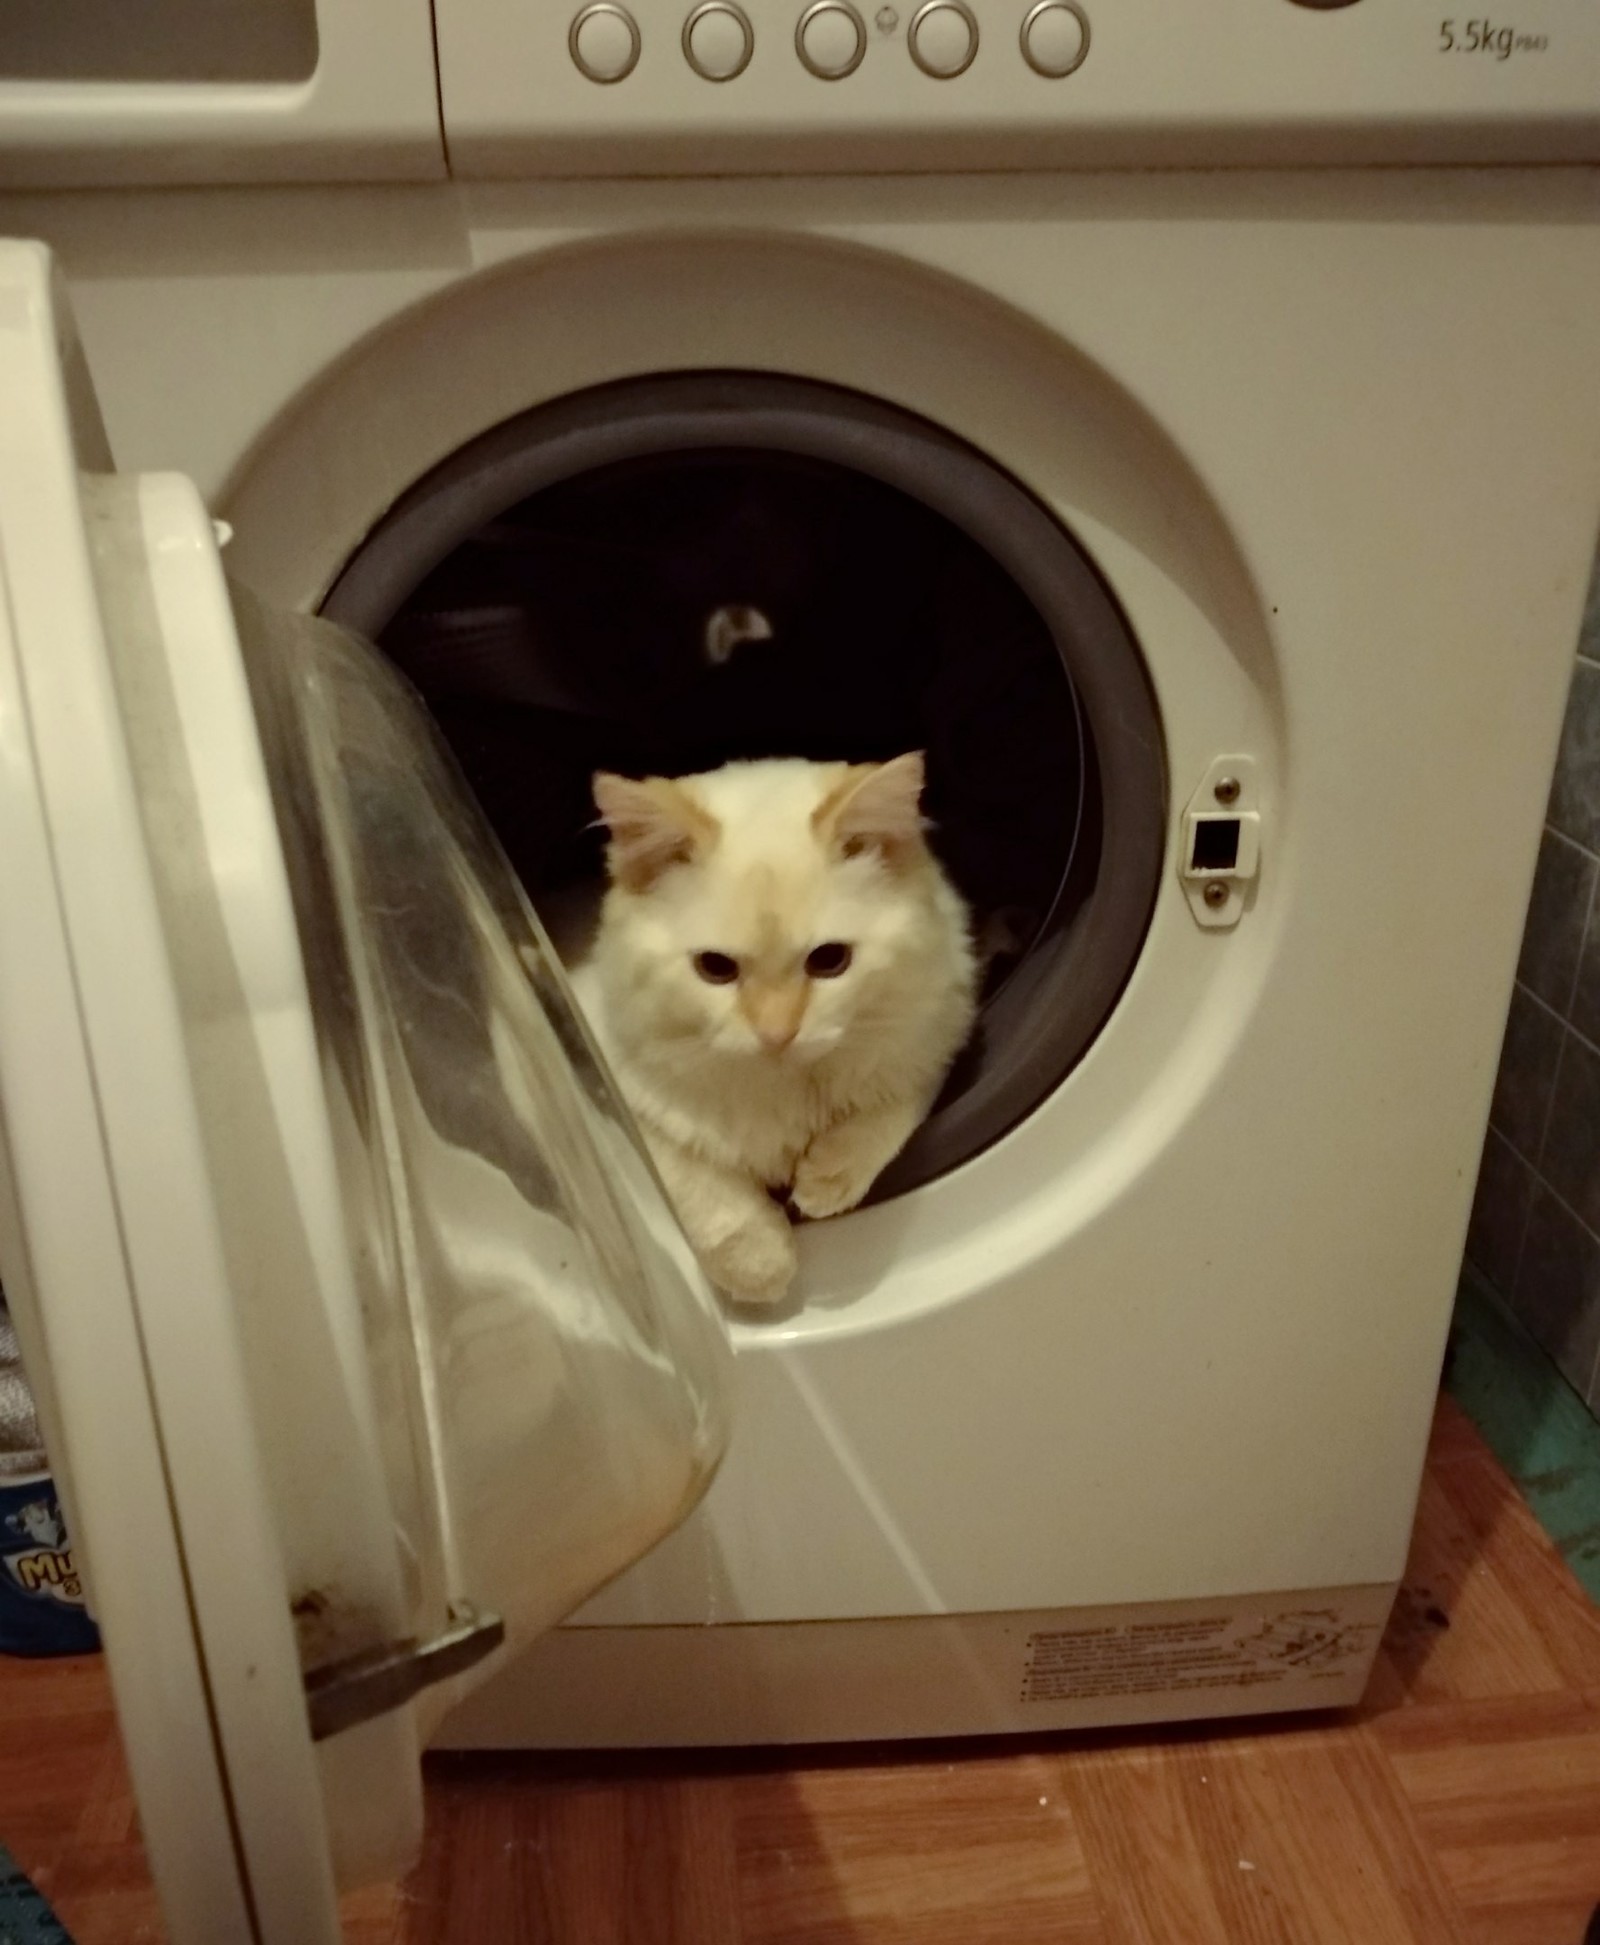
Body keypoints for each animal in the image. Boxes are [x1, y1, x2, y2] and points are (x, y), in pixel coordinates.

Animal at [567, 754, 983, 1307]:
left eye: (830, 960)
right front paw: (762, 1268)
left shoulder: (936, 1032)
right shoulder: (605, 1081)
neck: (783, 1087)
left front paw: (826, 1181)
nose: (777, 1035)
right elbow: (702, 1189)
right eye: (715, 969)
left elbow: (890, 1110)